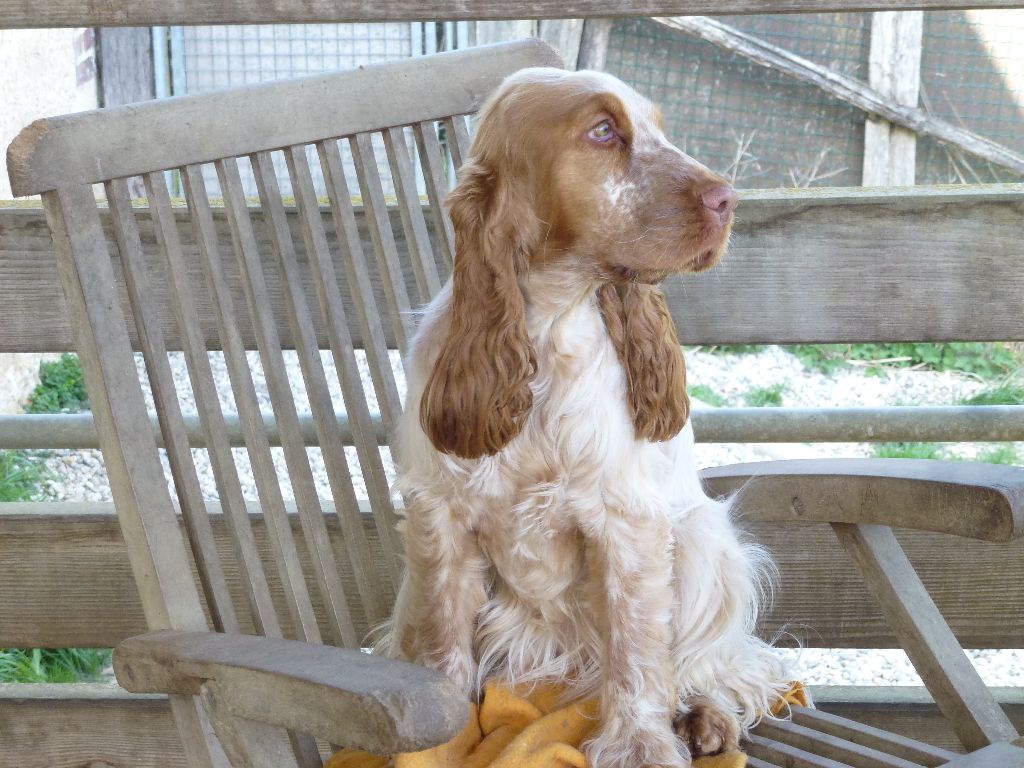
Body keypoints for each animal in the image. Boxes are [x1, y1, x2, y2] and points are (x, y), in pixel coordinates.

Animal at [381, 67, 792, 768]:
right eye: (603, 131)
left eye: (660, 128)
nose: (728, 199)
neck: (547, 333)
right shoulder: (441, 515)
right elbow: (444, 643)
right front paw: (440, 742)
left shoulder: (628, 524)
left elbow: (638, 655)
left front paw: (640, 746)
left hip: (703, 545)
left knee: (727, 664)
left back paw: (705, 717)